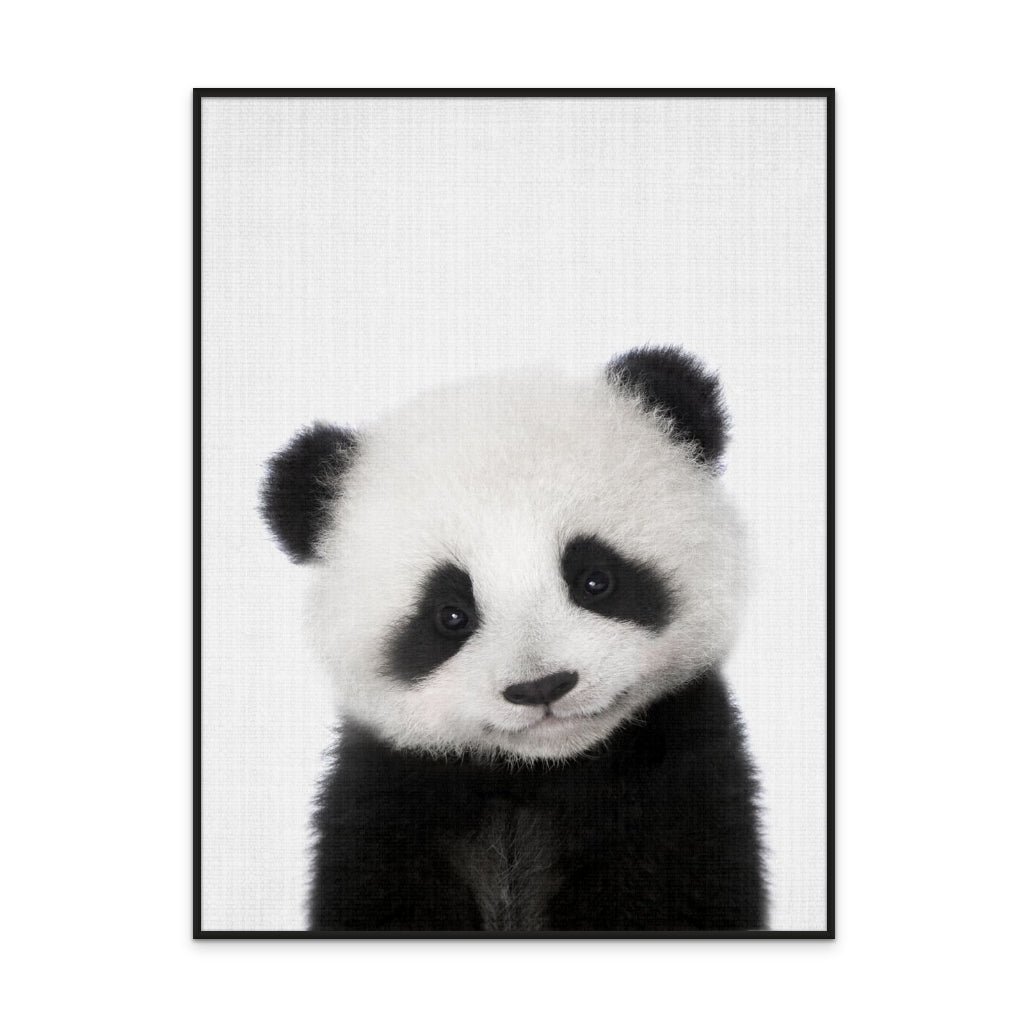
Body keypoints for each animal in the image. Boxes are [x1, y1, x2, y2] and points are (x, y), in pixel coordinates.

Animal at [261, 346, 765, 932]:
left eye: (595, 580)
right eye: (450, 615)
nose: (541, 686)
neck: (536, 774)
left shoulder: (677, 779)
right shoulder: (389, 799)